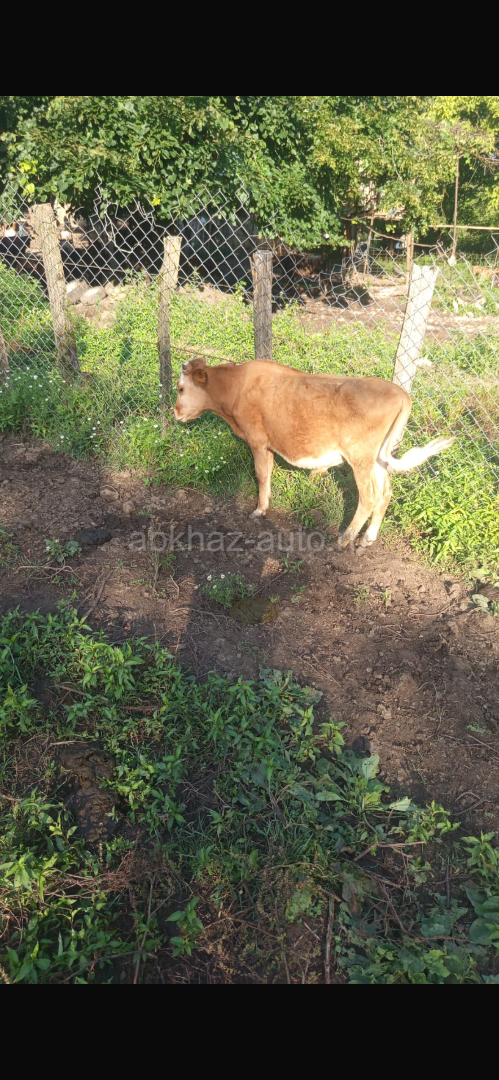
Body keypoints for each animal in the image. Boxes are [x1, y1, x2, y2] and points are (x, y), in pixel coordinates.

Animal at [173, 357, 454, 550]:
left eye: (180, 388)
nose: (175, 412)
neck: (237, 388)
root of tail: (401, 393)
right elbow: (268, 474)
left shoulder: (257, 441)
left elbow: (261, 475)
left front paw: (259, 510)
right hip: (378, 458)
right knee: (386, 492)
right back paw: (368, 537)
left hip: (361, 456)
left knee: (369, 496)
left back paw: (345, 539)